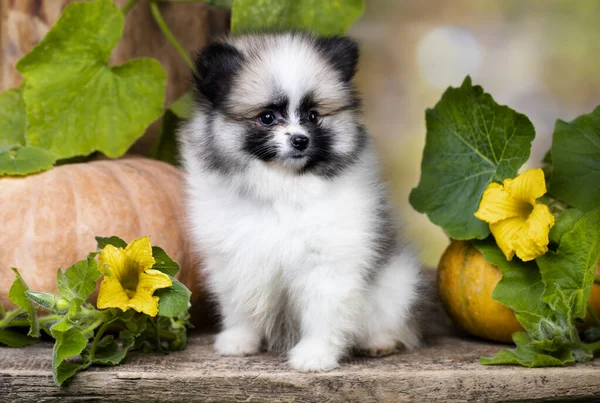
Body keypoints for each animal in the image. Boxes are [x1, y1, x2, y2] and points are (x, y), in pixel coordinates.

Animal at [180, 32, 424, 372]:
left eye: (313, 116)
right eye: (267, 117)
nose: (300, 140)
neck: (282, 187)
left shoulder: (327, 264)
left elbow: (323, 314)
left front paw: (315, 356)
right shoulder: (234, 261)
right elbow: (239, 306)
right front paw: (239, 341)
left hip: (397, 284)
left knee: (389, 321)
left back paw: (378, 342)